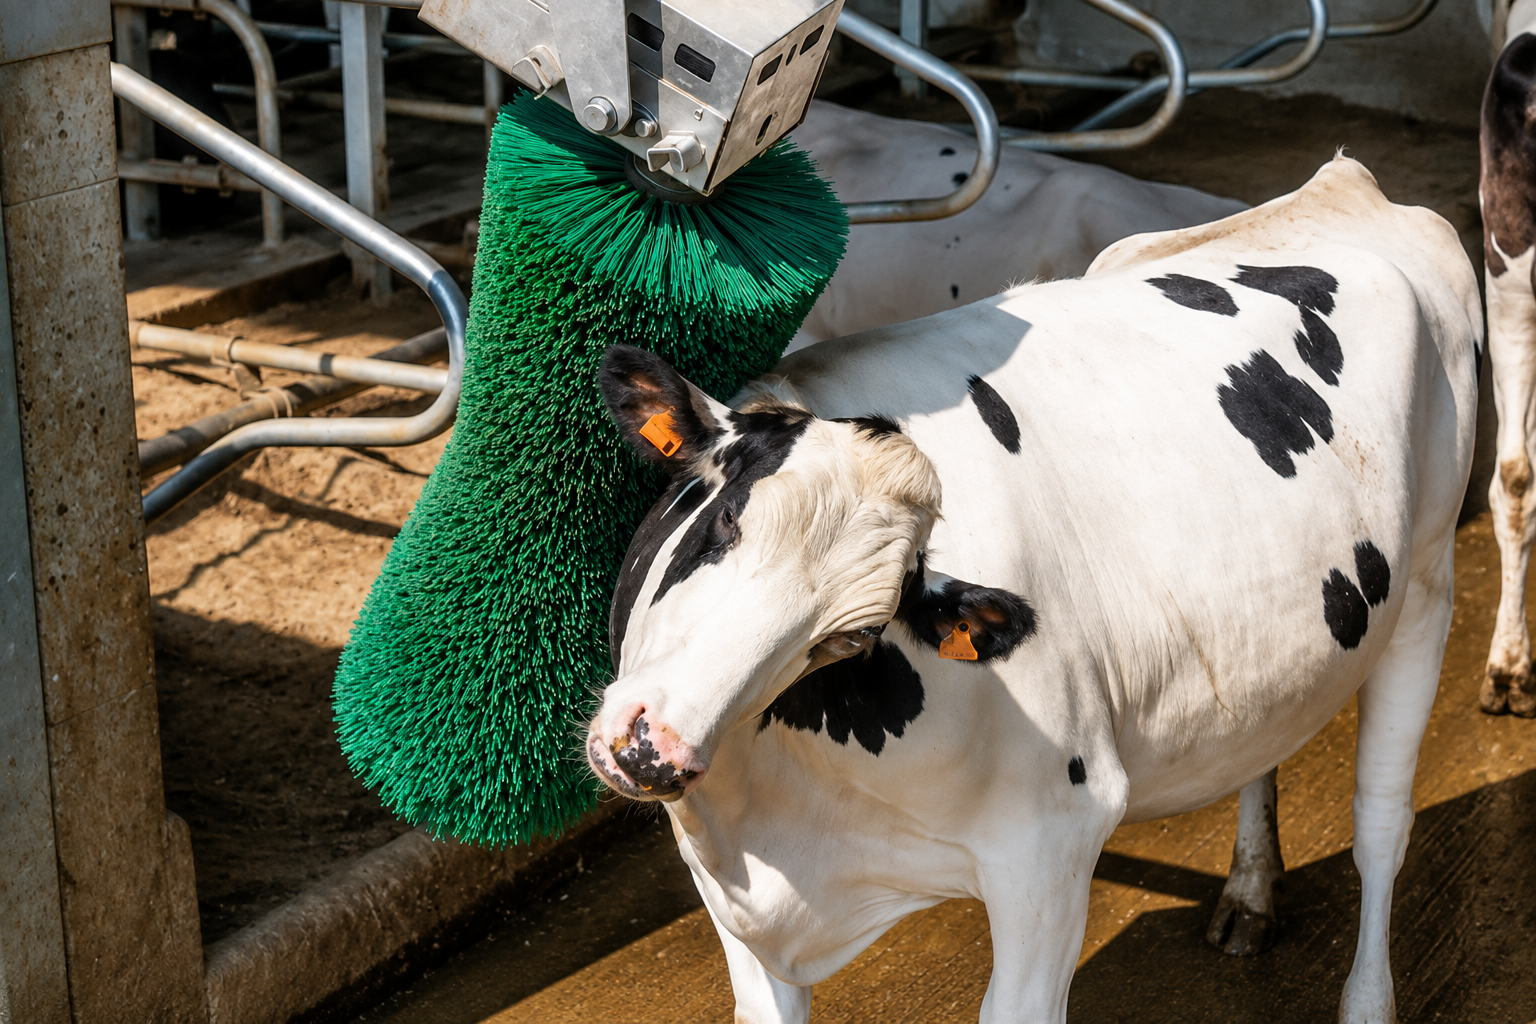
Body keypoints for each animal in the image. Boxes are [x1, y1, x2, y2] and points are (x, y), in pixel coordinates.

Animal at [588, 156, 1480, 1023]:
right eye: (724, 514)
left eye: (852, 637)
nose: (652, 747)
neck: (766, 814)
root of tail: (1336, 185)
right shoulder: (734, 903)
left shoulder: (1051, 844)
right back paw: (1252, 890)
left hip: (1427, 582)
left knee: (1381, 823)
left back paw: (1366, 998)